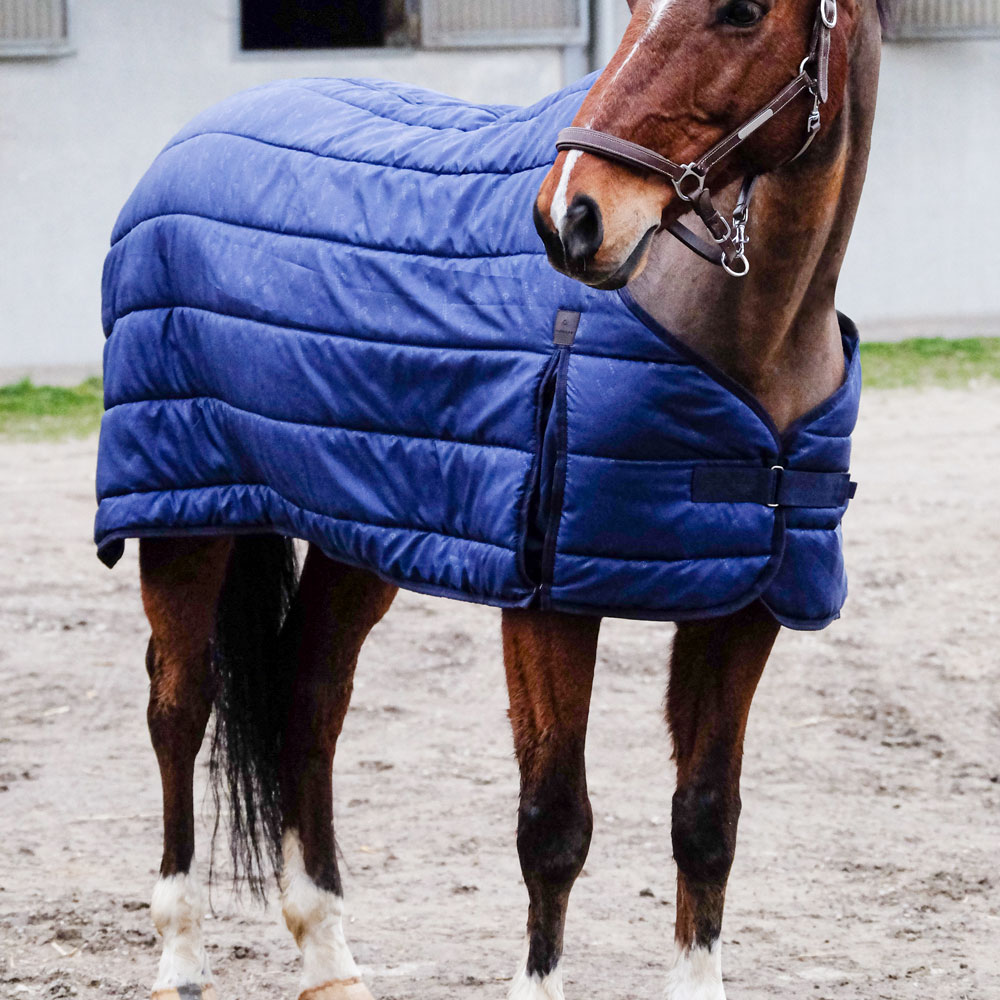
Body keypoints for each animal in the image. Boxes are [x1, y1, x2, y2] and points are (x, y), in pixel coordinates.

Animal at [111, 0, 885, 997]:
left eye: (742, 11)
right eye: (632, 12)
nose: (572, 218)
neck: (747, 344)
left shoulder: (743, 602)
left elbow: (707, 820)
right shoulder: (548, 598)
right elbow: (554, 825)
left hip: (364, 527)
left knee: (308, 699)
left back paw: (328, 955)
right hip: (186, 511)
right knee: (180, 703)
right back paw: (179, 954)